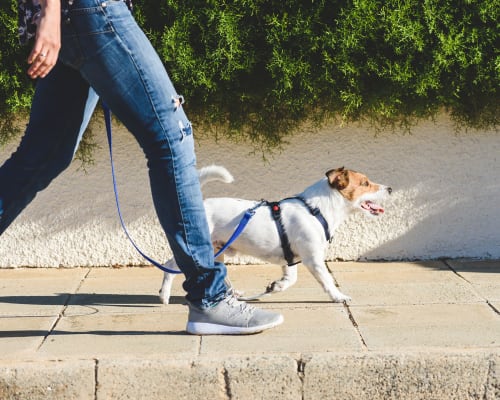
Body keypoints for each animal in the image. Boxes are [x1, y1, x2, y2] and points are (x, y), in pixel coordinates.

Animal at [160, 165, 390, 304]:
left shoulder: (290, 259)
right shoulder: (313, 259)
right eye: (365, 183)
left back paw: (233, 294)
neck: (316, 209)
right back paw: (164, 295)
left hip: (218, 250)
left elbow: (290, 279)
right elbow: (327, 280)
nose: (389, 189)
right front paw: (338, 296)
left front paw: (276, 286)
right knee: (169, 266)